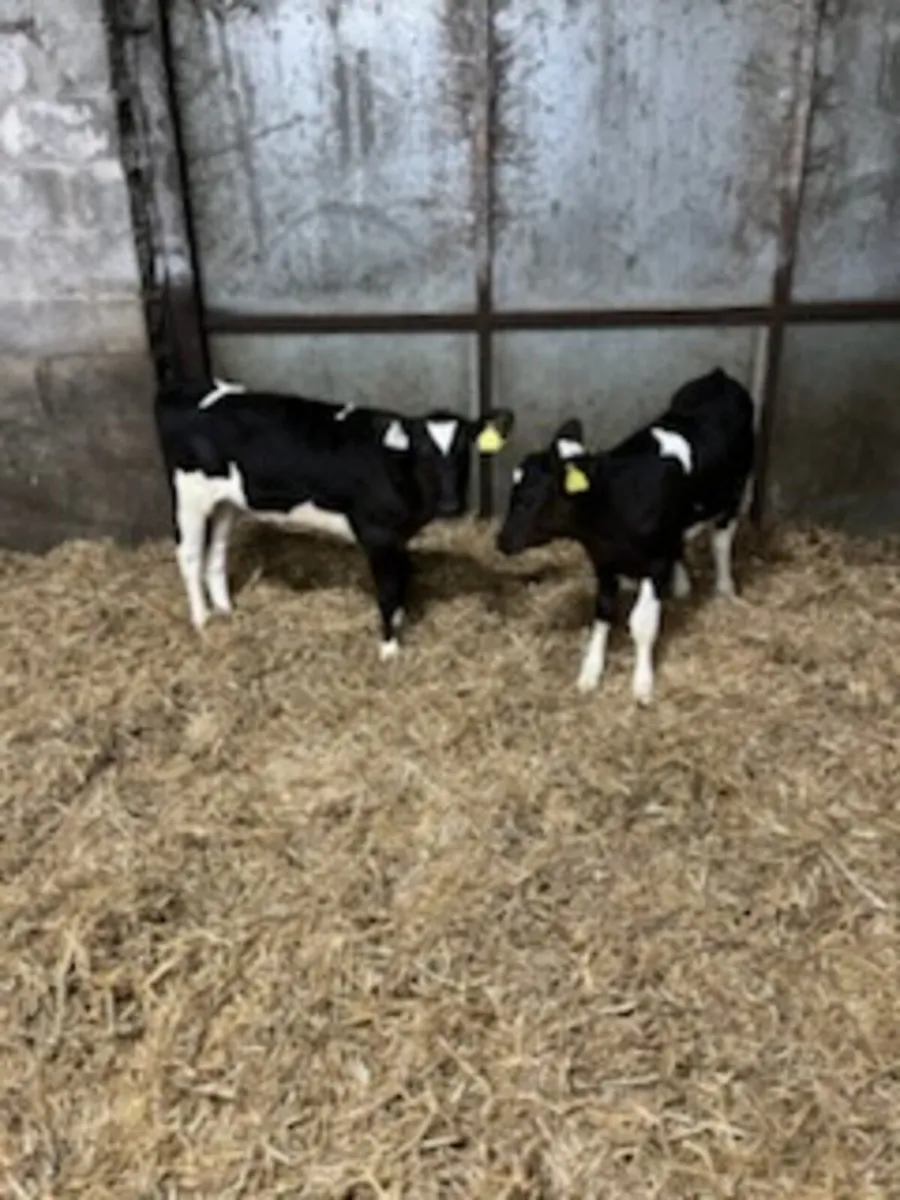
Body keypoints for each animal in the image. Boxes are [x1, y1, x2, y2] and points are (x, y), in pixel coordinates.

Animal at [155, 378, 515, 659]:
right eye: (423, 451)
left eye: (464, 450)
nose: (451, 504)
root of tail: (190, 389)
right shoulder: (378, 534)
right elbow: (387, 590)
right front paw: (389, 648)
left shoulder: (397, 538)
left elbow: (402, 580)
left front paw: (399, 624)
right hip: (188, 495)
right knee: (189, 556)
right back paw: (202, 620)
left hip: (226, 501)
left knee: (216, 552)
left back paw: (225, 610)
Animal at [494, 367, 755, 705]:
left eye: (528, 498)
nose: (501, 540)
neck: (613, 501)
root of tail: (719, 376)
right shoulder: (604, 561)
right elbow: (603, 612)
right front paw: (590, 673)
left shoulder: (654, 563)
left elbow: (642, 623)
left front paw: (642, 683)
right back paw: (682, 586)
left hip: (733, 492)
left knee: (721, 541)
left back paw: (724, 588)